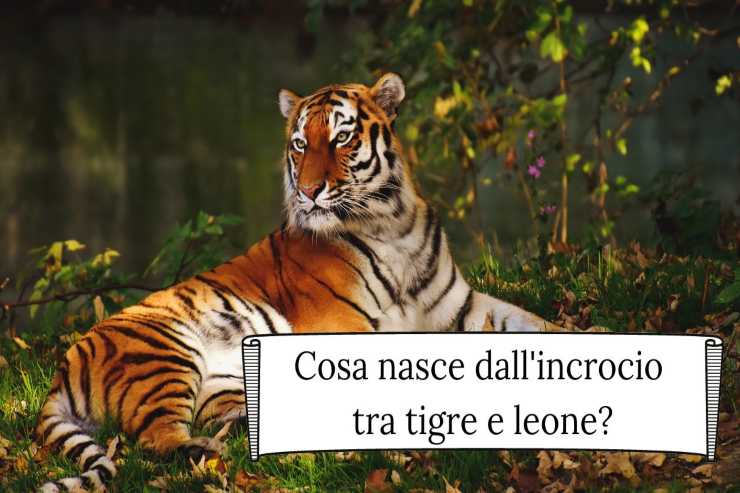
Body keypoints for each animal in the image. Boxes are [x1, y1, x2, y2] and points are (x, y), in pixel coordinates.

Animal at [35, 73, 557, 492]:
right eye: (301, 144)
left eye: (342, 137)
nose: (308, 192)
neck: (394, 225)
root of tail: (63, 365)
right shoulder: (345, 329)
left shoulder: (460, 306)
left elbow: (536, 325)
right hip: (162, 353)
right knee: (154, 440)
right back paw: (202, 452)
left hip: (220, 383)